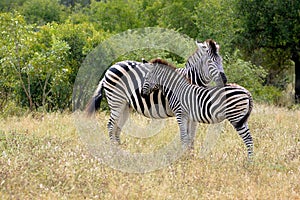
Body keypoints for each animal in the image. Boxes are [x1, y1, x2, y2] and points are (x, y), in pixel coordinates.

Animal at [85, 39, 227, 145]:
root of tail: (111, 67)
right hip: (116, 102)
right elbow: (186, 137)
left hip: (125, 105)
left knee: (116, 128)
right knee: (110, 125)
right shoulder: (183, 113)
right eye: (210, 61)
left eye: (221, 60)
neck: (191, 80)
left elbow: (191, 137)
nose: (224, 80)